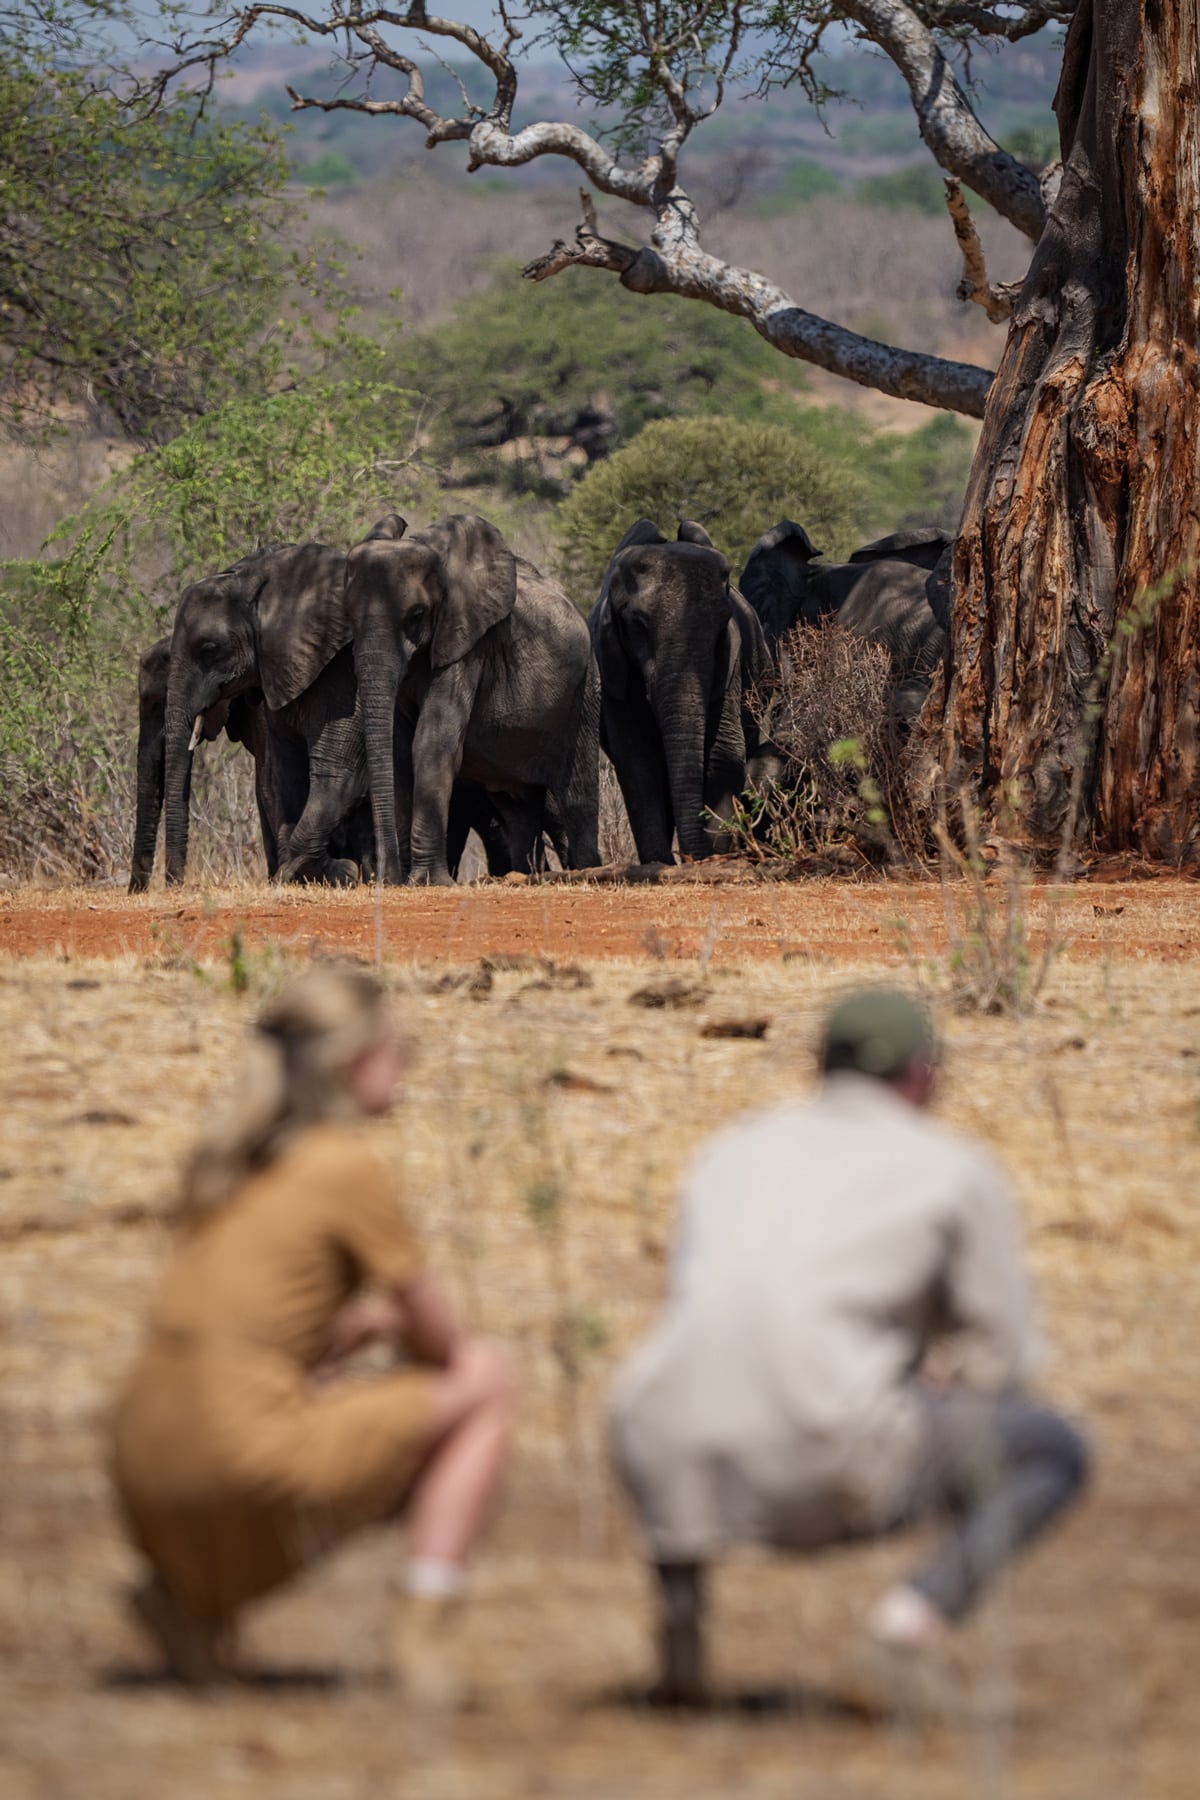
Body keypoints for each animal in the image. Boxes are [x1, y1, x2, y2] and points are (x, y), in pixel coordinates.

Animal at [341, 514, 600, 885]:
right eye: (347, 616)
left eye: (417, 615)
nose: (385, 877)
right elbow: (398, 750)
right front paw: (406, 880)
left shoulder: (467, 646)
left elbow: (431, 743)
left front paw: (427, 881)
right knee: (518, 805)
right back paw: (523, 875)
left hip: (585, 686)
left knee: (577, 794)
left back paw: (589, 871)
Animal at [590, 518, 780, 867]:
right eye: (638, 624)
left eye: (721, 623)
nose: (690, 856)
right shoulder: (611, 665)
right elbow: (637, 760)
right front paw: (659, 864)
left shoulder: (730, 663)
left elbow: (723, 750)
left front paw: (716, 856)